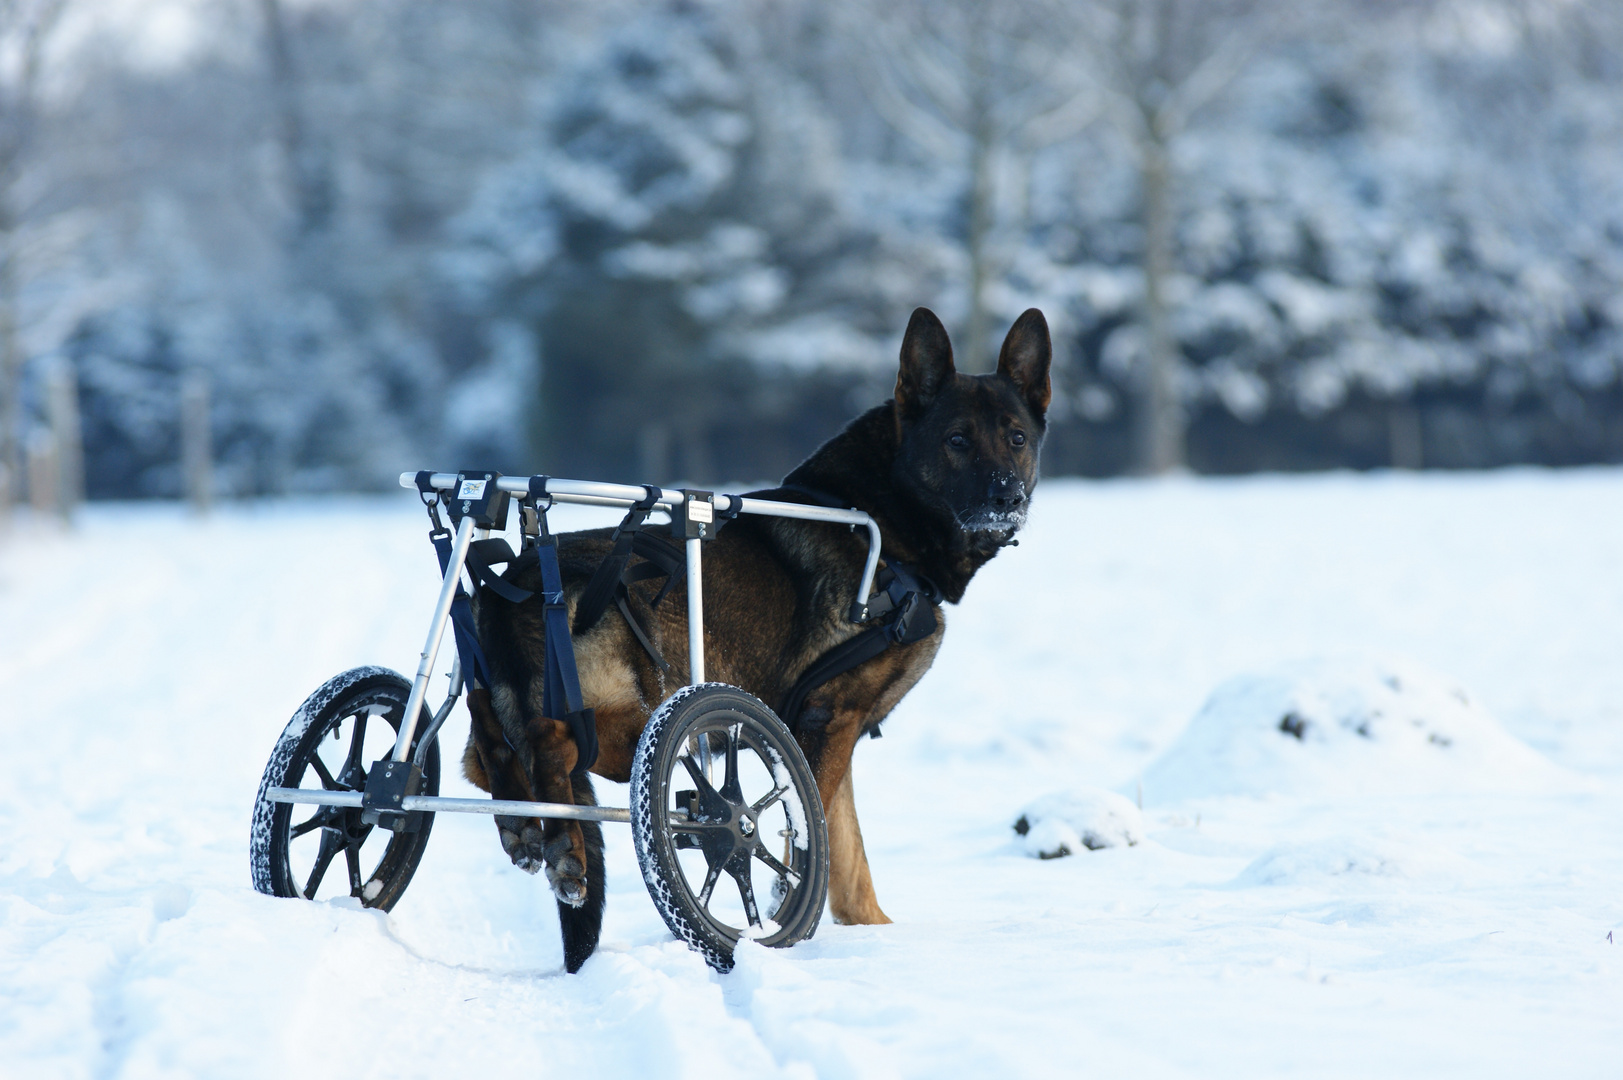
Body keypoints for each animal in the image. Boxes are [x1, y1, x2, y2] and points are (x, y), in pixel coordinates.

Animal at [464, 305, 1058, 967]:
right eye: (956, 440)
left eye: (1016, 438)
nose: (1006, 496)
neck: (882, 522)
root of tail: (516, 579)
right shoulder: (830, 720)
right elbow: (812, 837)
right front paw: (785, 916)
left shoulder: (830, 735)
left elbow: (849, 857)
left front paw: (870, 935)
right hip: (638, 711)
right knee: (557, 744)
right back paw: (564, 848)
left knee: (484, 750)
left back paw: (524, 829)